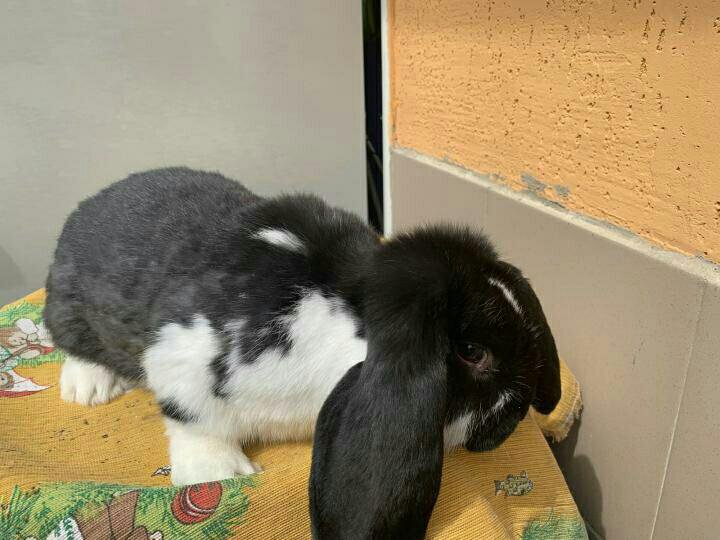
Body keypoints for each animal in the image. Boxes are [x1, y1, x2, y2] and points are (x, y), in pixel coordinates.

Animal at [44, 167, 560, 499]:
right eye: (472, 352)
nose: (517, 415)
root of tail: (87, 207)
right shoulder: (181, 352)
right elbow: (194, 420)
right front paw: (222, 474)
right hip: (68, 308)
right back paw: (88, 389)